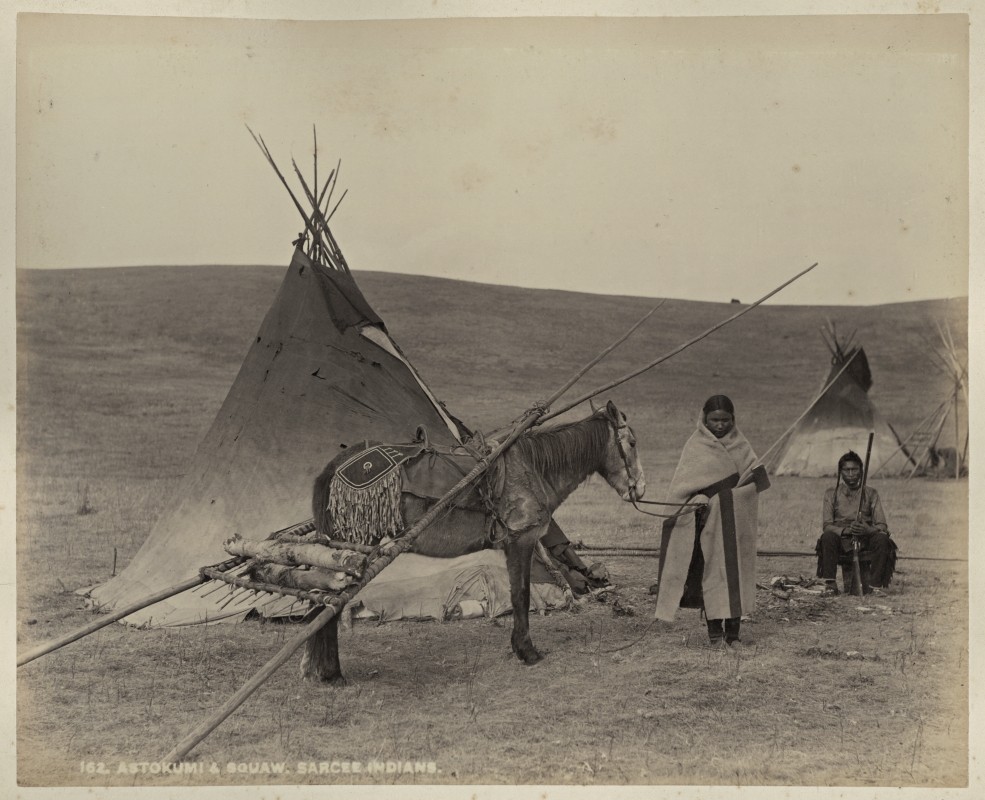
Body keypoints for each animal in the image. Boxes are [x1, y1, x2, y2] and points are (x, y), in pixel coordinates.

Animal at [304, 400, 644, 680]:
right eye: (632, 442)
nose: (639, 489)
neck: (532, 467)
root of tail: (334, 467)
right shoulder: (521, 540)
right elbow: (521, 595)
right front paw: (527, 651)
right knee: (329, 603)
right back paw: (332, 673)